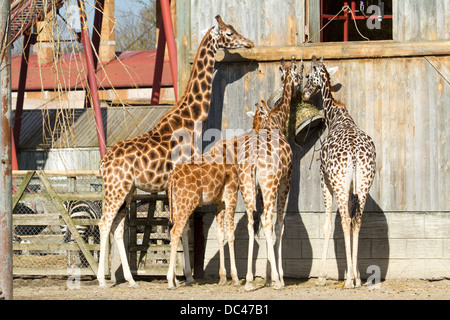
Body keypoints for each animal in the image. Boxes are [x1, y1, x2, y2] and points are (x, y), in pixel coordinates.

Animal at [96, 15, 253, 288]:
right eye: (229, 33)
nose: (249, 43)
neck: (192, 120)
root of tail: (102, 164)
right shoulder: (182, 182)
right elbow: (184, 229)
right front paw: (185, 276)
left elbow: (183, 229)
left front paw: (186, 276)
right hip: (117, 188)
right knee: (104, 224)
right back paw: (102, 281)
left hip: (127, 190)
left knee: (117, 227)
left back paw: (131, 280)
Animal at [167, 104, 268, 290]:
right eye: (266, 113)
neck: (235, 150)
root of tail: (172, 178)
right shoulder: (231, 194)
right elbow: (231, 235)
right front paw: (235, 278)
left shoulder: (219, 202)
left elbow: (220, 235)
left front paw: (222, 278)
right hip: (187, 203)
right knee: (175, 231)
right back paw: (171, 281)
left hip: (177, 204)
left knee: (181, 231)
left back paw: (184, 279)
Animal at [239, 57, 298, 290]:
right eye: (298, 74)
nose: (299, 84)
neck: (276, 122)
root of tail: (253, 159)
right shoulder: (285, 180)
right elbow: (279, 225)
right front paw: (277, 276)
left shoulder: (259, 190)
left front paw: (265, 276)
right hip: (270, 184)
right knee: (266, 221)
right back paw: (277, 281)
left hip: (247, 186)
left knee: (250, 222)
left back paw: (248, 280)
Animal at [302, 56, 376, 288]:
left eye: (308, 75)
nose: (304, 93)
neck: (336, 116)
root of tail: (354, 155)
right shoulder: (353, 187)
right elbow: (353, 221)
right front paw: (357, 274)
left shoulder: (324, 178)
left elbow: (327, 226)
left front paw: (322, 276)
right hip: (363, 183)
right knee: (357, 220)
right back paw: (356, 279)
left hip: (339, 182)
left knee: (344, 220)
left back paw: (349, 280)